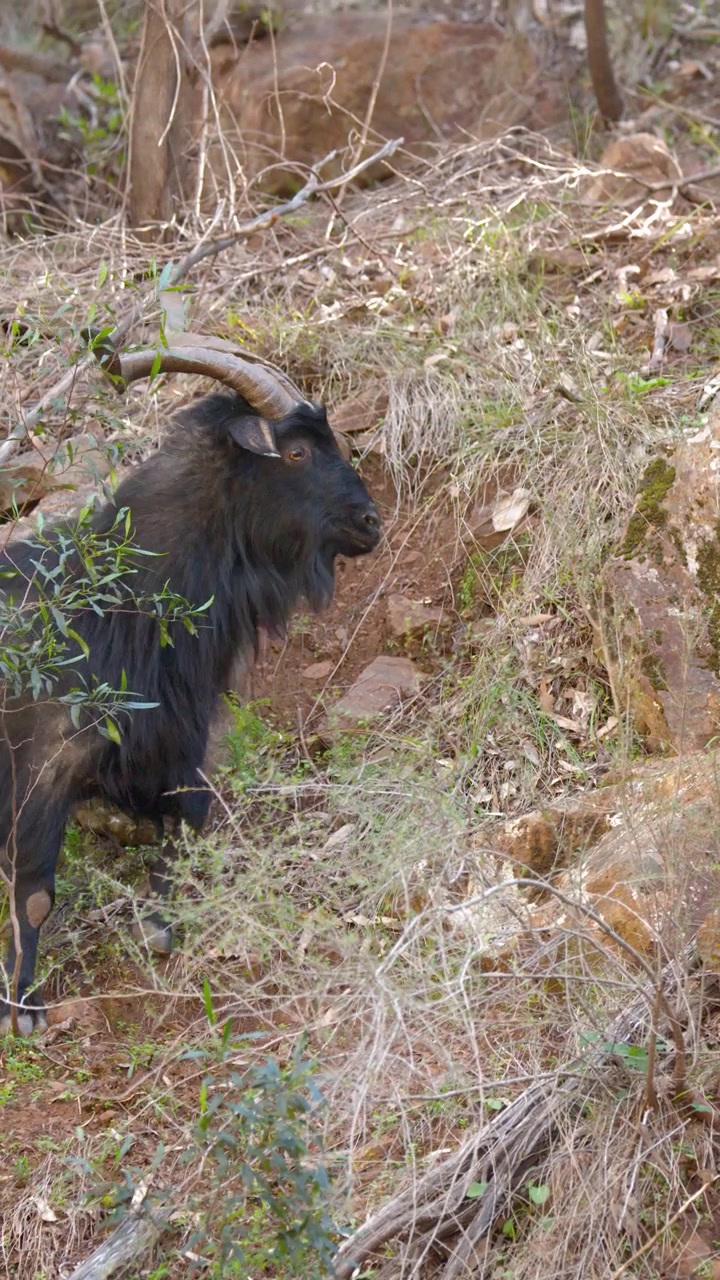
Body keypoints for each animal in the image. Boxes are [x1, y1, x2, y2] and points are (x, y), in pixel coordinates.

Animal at [0, 336, 381, 1034]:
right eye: (296, 451)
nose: (370, 522)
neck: (116, 601)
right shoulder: (43, 761)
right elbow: (35, 890)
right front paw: (23, 1006)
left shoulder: (177, 737)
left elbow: (190, 818)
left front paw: (159, 925)